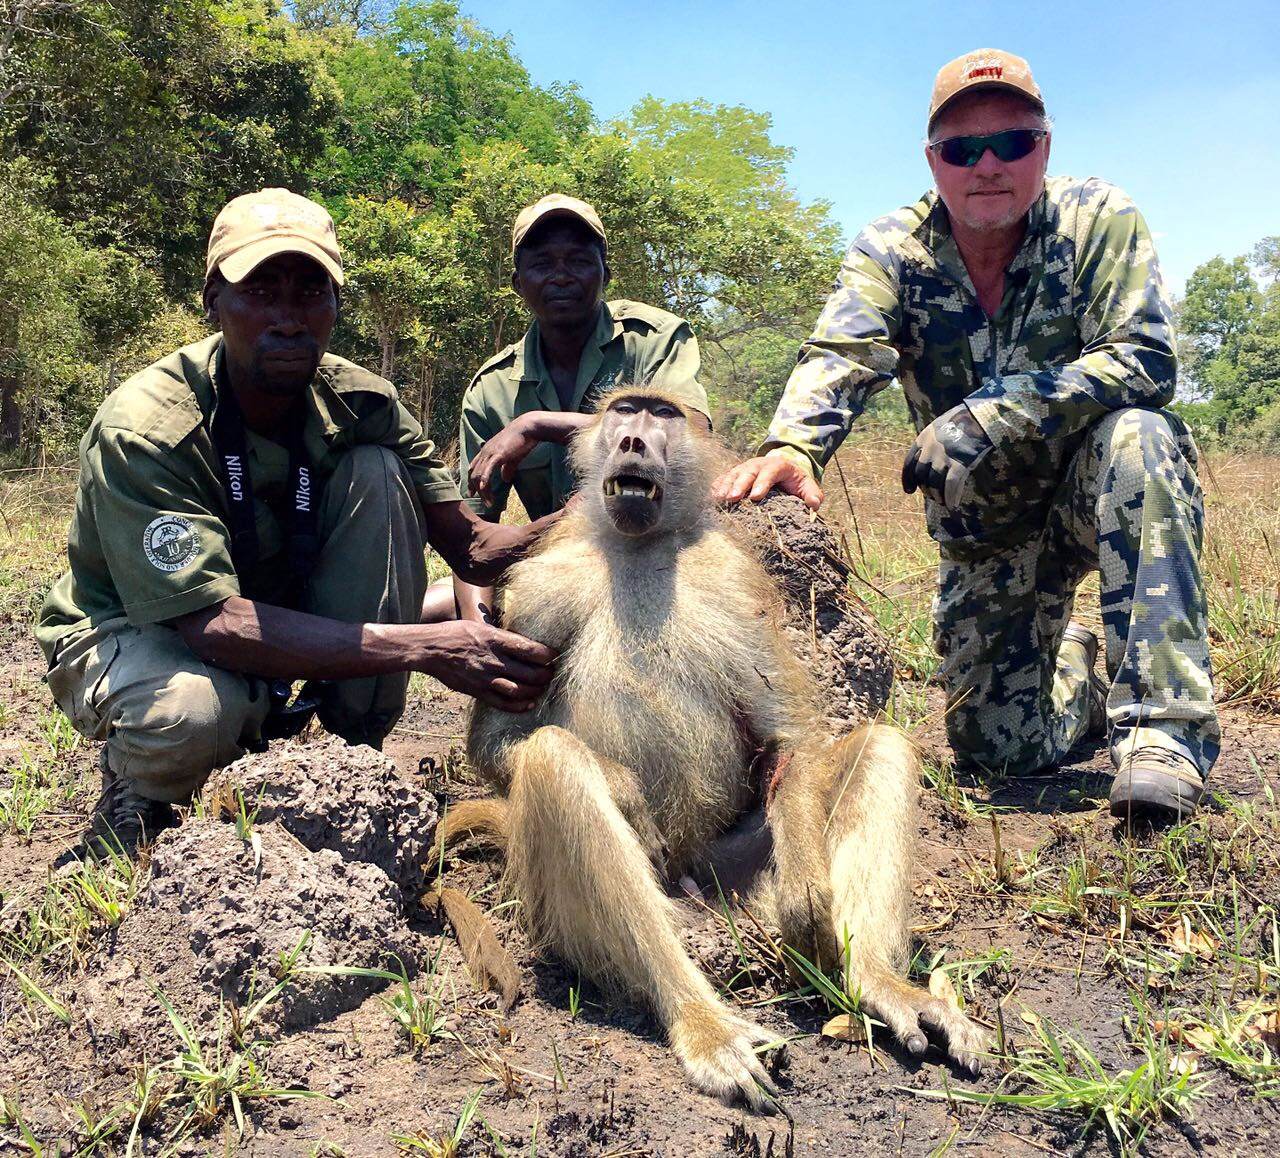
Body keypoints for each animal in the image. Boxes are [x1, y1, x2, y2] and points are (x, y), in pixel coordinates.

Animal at [440, 386, 988, 1109]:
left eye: (662, 416)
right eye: (625, 413)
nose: (633, 441)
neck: (640, 550)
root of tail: (695, 886)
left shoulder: (734, 577)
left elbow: (788, 737)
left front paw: (808, 891)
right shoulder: (536, 590)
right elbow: (500, 741)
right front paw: (625, 794)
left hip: (741, 882)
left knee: (882, 746)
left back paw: (878, 983)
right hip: (568, 902)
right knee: (555, 761)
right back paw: (705, 1024)